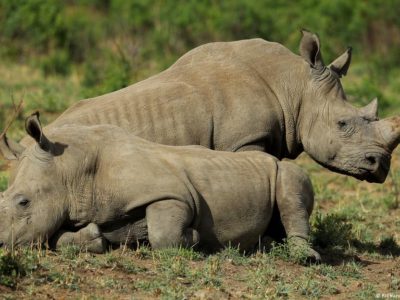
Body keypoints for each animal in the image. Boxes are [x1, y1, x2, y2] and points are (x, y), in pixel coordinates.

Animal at [0, 113, 318, 262]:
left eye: (23, 202)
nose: (1, 244)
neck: (71, 170)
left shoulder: (172, 193)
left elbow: (164, 233)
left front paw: (194, 237)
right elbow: (57, 238)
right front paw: (97, 238)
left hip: (284, 170)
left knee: (290, 187)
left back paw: (303, 257)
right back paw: (265, 245)